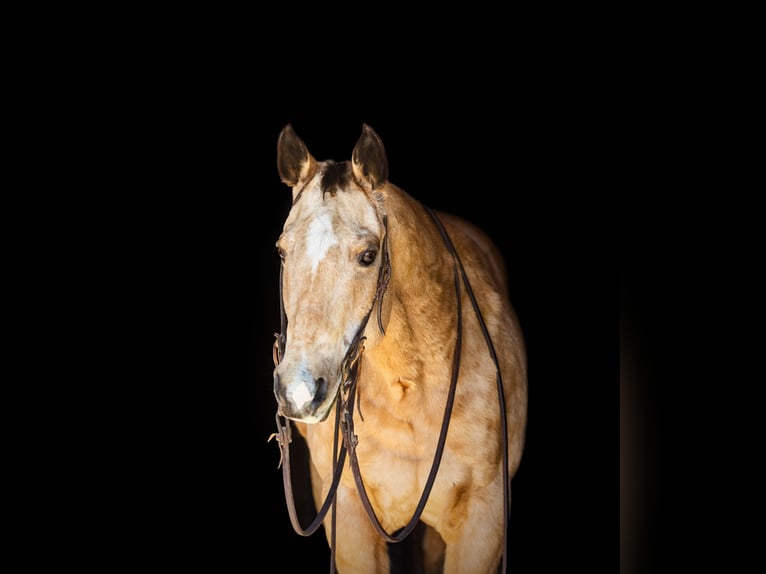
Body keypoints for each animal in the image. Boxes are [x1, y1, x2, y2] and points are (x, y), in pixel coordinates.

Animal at [270, 124, 528, 572]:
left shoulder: (483, 524)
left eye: (368, 256)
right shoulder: (349, 521)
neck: (409, 387)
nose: (299, 391)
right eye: (283, 252)